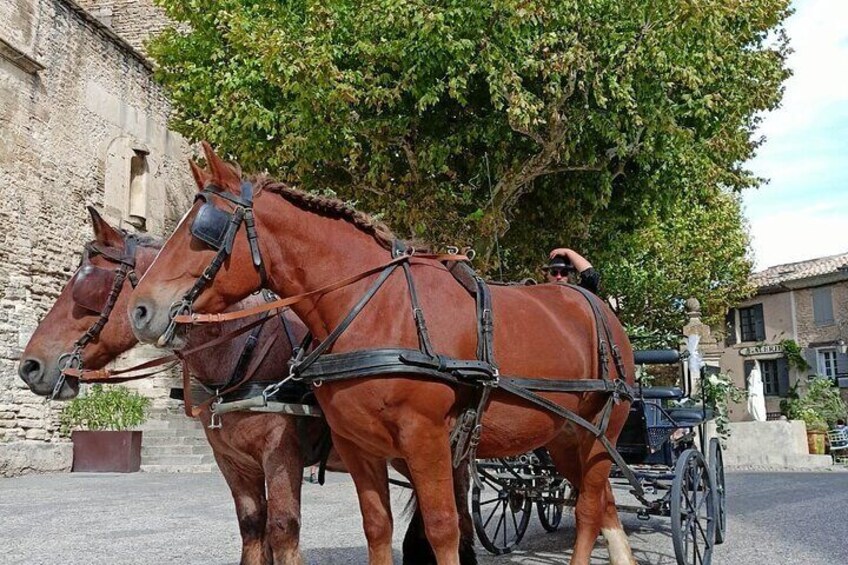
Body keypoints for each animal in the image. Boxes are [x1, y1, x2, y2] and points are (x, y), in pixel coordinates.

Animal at [127, 145, 636, 564]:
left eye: (203, 230)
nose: (141, 310)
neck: (377, 308)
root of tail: (594, 300)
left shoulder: (426, 438)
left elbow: (443, 529)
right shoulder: (358, 445)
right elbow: (377, 527)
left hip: (602, 431)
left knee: (588, 510)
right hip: (566, 437)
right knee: (603, 504)